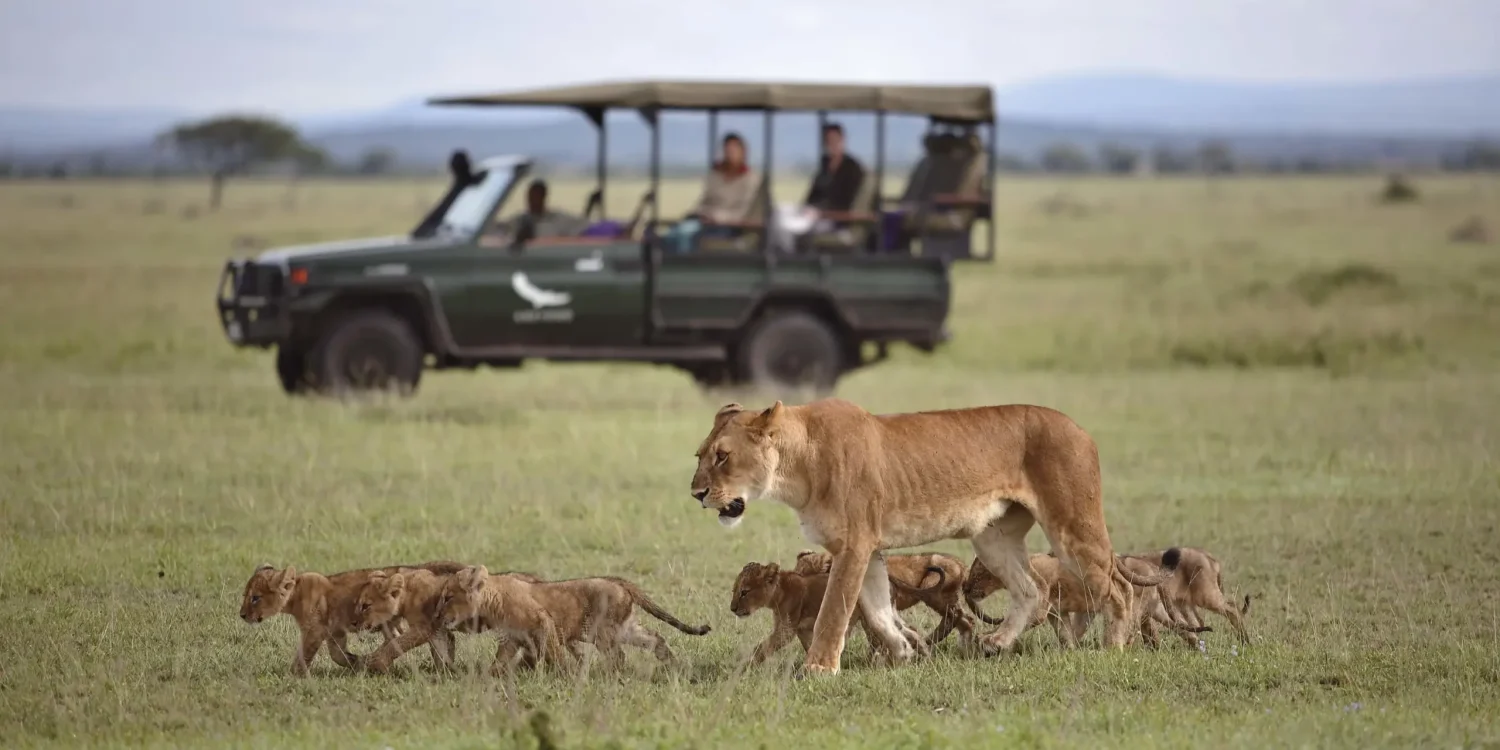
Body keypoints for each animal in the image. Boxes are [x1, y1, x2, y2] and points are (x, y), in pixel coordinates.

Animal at [238, 560, 465, 676]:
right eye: (245, 596)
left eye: (255, 598)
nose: (242, 615)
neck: (296, 595)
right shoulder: (334, 632)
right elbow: (337, 655)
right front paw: (357, 662)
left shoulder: (314, 631)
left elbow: (304, 656)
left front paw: (292, 676)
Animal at [353, 567, 544, 674]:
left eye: (366, 606)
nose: (353, 623)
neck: (406, 594)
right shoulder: (438, 629)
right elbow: (441, 649)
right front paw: (444, 672)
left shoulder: (424, 628)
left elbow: (397, 644)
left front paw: (376, 663)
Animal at [436, 565, 711, 675]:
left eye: (448, 597)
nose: (437, 616)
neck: (492, 600)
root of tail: (620, 582)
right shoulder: (512, 639)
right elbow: (500, 662)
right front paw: (491, 676)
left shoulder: (543, 622)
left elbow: (553, 654)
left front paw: (565, 674)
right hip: (626, 628)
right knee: (655, 639)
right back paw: (673, 665)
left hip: (604, 631)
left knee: (618, 656)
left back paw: (610, 676)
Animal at [794, 549, 976, 648]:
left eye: (802, 576)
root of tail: (961, 565)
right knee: (965, 620)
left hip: (932, 589)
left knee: (956, 616)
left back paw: (931, 641)